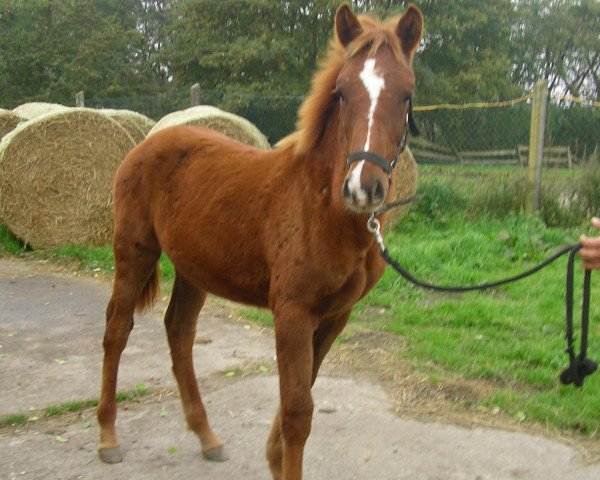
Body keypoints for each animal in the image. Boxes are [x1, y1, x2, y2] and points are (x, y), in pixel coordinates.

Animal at [97, 4, 422, 480]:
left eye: (406, 95)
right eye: (342, 93)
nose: (363, 188)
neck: (320, 206)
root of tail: (148, 141)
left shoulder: (335, 316)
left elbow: (303, 394)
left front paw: (272, 457)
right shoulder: (292, 312)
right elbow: (297, 411)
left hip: (195, 269)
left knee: (179, 331)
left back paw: (207, 436)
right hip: (134, 253)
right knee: (117, 331)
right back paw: (107, 437)